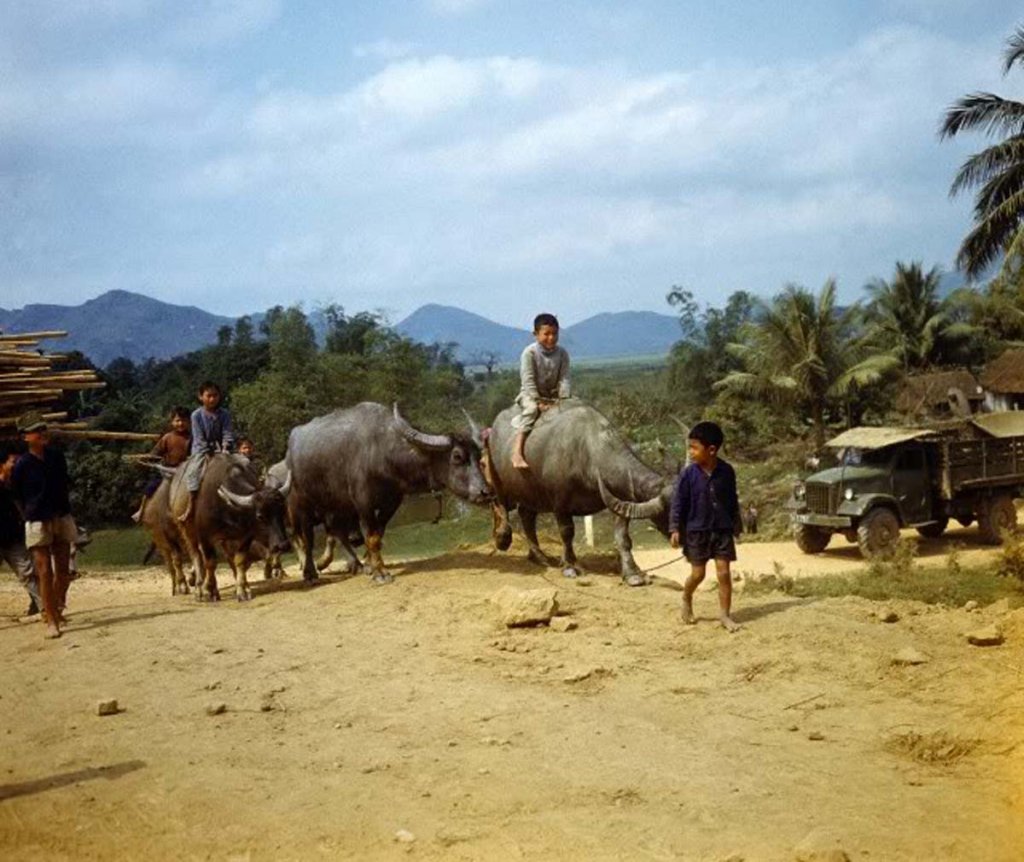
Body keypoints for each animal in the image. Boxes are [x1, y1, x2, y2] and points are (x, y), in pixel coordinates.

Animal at [169, 452, 292, 601]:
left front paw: (242, 589)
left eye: (282, 511)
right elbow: (210, 562)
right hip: (186, 530)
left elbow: (239, 560)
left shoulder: (245, 536)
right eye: (260, 516)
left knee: (227, 557)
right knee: (196, 555)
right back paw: (199, 587)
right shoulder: (205, 536)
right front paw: (210, 590)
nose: (283, 545)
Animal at [286, 403, 493, 585]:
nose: (485, 492)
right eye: (457, 456)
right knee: (306, 538)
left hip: (335, 504)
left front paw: (371, 565)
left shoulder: (392, 502)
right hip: (300, 504)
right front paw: (380, 573)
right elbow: (371, 536)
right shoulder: (364, 504)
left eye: (478, 455)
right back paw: (310, 573)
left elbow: (378, 534)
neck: (382, 453)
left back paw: (351, 564)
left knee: (337, 532)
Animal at [485, 397, 671, 585]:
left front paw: (632, 573)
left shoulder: (619, 500)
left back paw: (538, 556)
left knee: (526, 515)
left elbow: (623, 537)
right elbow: (567, 533)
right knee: (500, 502)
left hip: (531, 492)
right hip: (498, 478)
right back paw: (502, 538)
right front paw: (570, 566)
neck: (585, 451)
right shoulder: (560, 503)